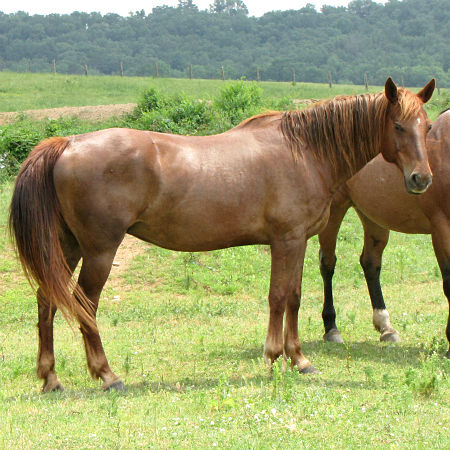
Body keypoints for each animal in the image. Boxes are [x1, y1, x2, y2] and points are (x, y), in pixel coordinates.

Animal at [10, 79, 434, 392]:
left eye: (427, 127)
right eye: (398, 126)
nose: (421, 179)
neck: (304, 150)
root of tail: (68, 143)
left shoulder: (298, 242)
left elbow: (294, 298)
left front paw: (298, 359)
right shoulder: (287, 241)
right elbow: (279, 297)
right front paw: (276, 356)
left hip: (67, 247)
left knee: (47, 302)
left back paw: (51, 378)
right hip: (99, 250)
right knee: (85, 304)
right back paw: (108, 375)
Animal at [318, 109, 448, 358]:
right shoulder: (441, 228)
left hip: (373, 217)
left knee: (370, 263)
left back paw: (386, 327)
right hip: (335, 210)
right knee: (327, 264)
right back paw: (331, 328)